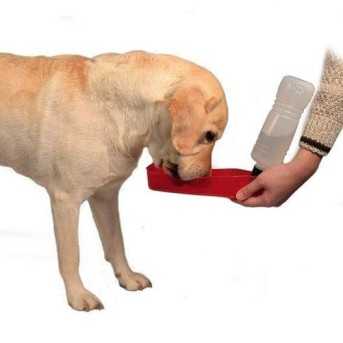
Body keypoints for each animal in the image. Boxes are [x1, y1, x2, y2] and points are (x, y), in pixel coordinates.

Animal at [0, 51, 228, 312]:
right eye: (209, 136)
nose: (205, 175)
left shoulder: (106, 196)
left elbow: (116, 242)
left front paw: (127, 278)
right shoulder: (66, 201)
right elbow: (71, 255)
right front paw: (78, 296)